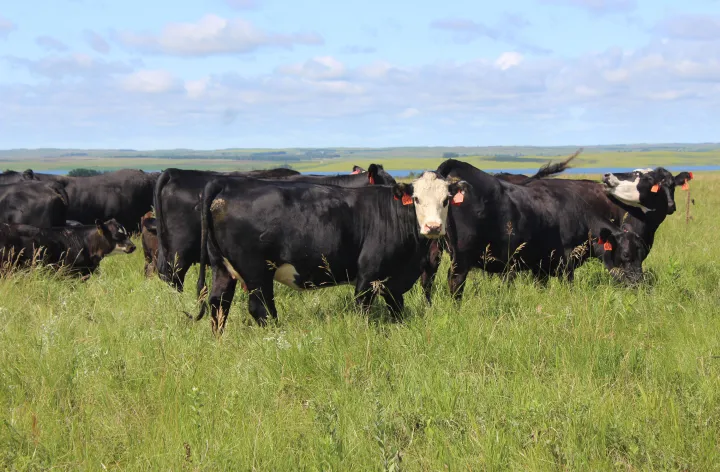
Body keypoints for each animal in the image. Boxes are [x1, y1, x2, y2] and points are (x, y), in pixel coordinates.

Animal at [194, 171, 470, 334]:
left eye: (446, 200)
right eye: (417, 199)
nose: (433, 226)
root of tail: (228, 183)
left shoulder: (392, 279)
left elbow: (397, 308)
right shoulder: (368, 274)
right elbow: (362, 307)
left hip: (222, 268)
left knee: (219, 303)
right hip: (257, 272)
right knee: (260, 308)